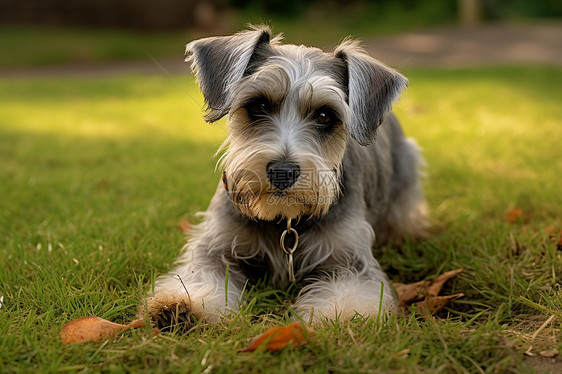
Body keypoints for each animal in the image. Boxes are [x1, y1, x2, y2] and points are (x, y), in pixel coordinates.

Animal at [142, 25, 426, 328]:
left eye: (324, 115)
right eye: (258, 106)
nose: (282, 171)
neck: (284, 219)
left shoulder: (349, 261)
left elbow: (349, 300)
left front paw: (339, 318)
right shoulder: (215, 246)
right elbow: (200, 277)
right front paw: (182, 305)